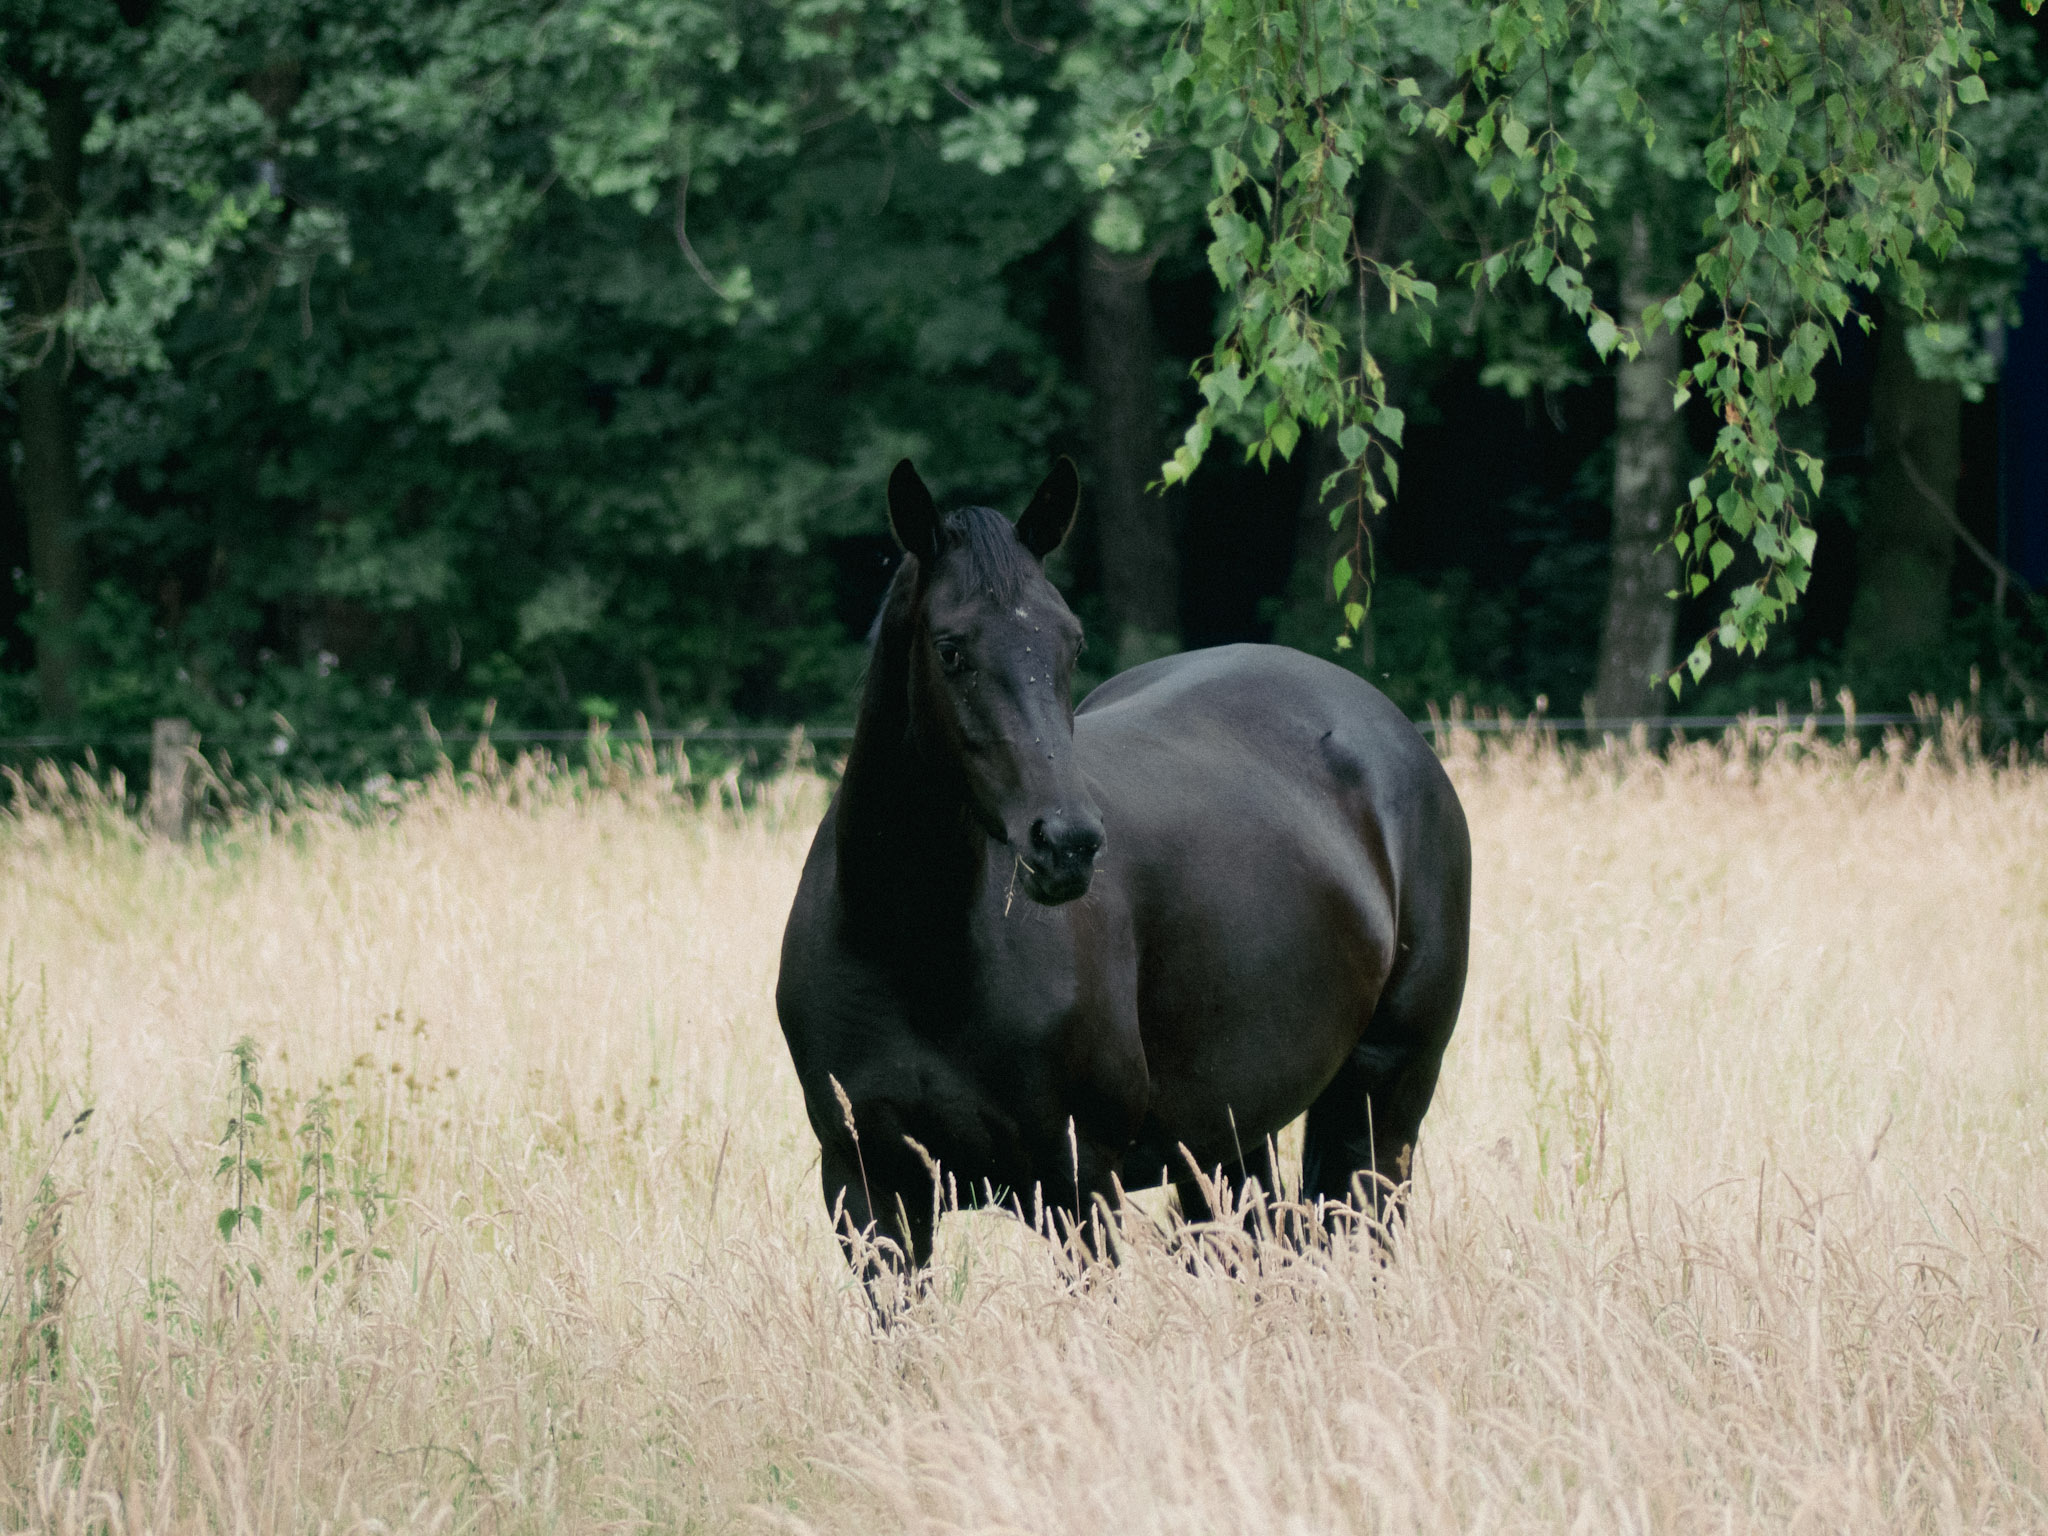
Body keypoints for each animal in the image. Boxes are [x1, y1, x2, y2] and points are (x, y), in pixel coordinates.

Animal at [775, 458, 1471, 1285]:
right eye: (950, 649)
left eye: (1070, 644)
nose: (1067, 843)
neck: (913, 948)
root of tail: (1392, 732)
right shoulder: (869, 1189)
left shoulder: (1077, 1185)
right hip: (1229, 1140)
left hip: (1383, 1101)